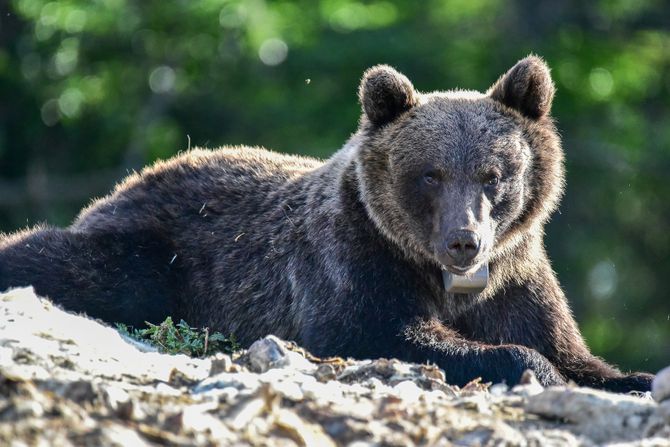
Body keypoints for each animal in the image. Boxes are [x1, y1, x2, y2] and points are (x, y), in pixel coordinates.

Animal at [0, 55, 652, 392]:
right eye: (430, 174)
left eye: (493, 174)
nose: (463, 242)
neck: (449, 282)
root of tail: (127, 182)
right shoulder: (352, 260)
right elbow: (379, 330)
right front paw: (530, 367)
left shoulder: (516, 277)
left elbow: (572, 351)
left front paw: (631, 376)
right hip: (160, 250)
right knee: (79, 263)